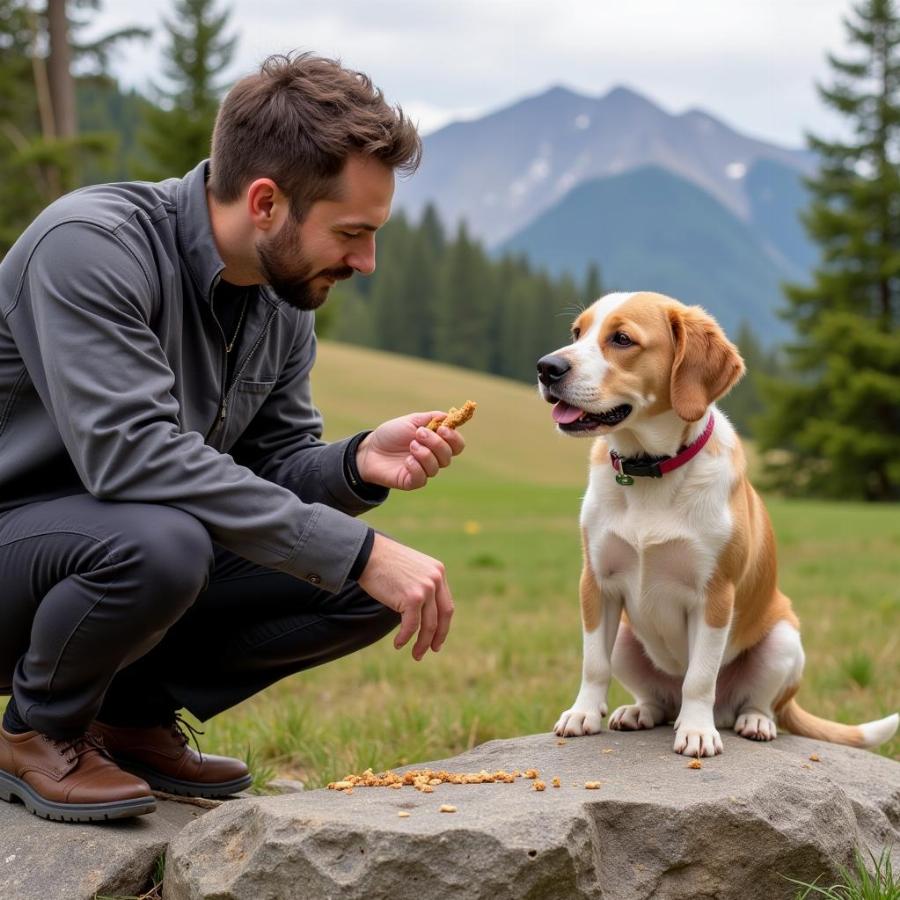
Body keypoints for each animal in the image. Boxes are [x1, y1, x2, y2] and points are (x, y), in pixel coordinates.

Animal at [536, 292, 896, 756]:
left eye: (622, 339)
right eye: (576, 334)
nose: (547, 367)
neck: (650, 469)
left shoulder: (714, 595)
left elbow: (700, 677)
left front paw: (696, 731)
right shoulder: (597, 583)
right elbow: (593, 663)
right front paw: (583, 713)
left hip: (783, 640)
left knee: (752, 702)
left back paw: (752, 722)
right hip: (627, 640)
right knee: (658, 698)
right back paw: (639, 711)